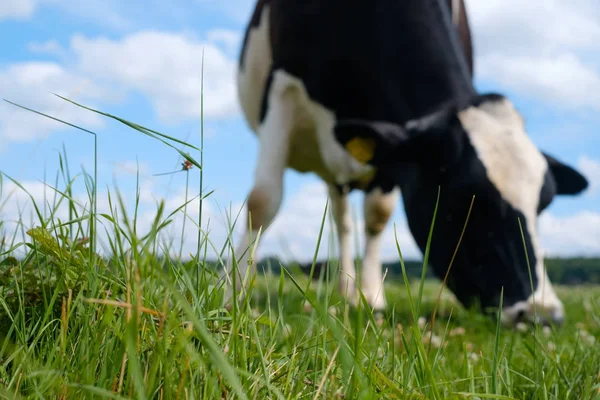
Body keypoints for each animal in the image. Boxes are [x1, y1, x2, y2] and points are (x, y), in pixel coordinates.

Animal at [227, 0, 588, 324]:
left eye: (543, 206)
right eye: (469, 199)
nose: (544, 314)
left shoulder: (393, 148)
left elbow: (377, 216)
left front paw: (371, 298)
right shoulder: (282, 87)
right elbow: (263, 200)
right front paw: (235, 291)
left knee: (346, 221)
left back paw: (350, 292)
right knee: (340, 220)